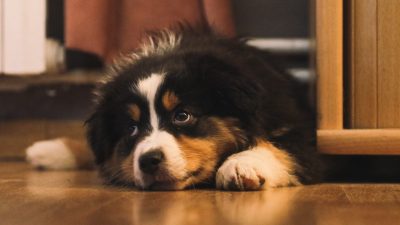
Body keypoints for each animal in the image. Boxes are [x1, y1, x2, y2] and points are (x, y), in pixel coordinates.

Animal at [26, 27, 320, 191]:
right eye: (131, 128)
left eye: (182, 116)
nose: (148, 161)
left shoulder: (302, 131)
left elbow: (278, 146)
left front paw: (240, 165)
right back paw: (47, 150)